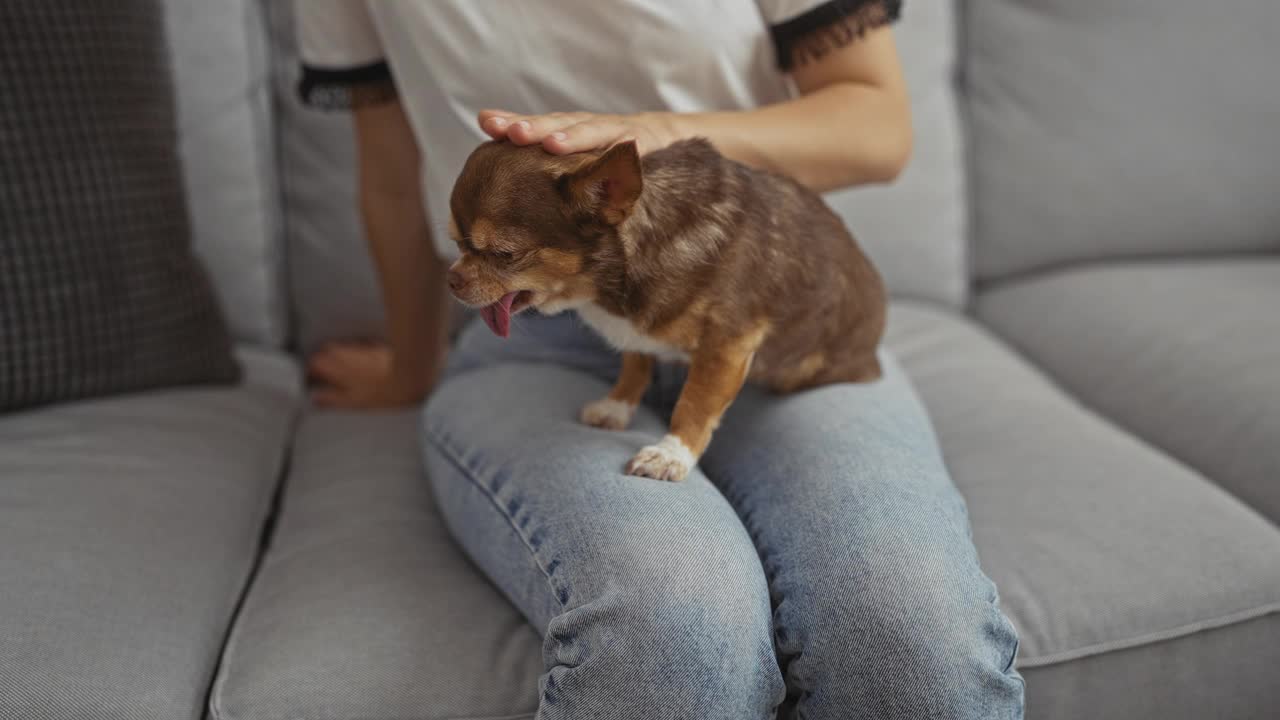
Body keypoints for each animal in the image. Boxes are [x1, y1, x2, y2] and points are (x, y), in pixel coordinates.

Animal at [445, 137, 885, 479]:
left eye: (505, 254)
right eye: (455, 243)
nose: (452, 279)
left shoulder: (727, 347)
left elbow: (695, 403)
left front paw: (672, 454)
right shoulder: (639, 332)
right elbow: (636, 363)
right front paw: (618, 405)